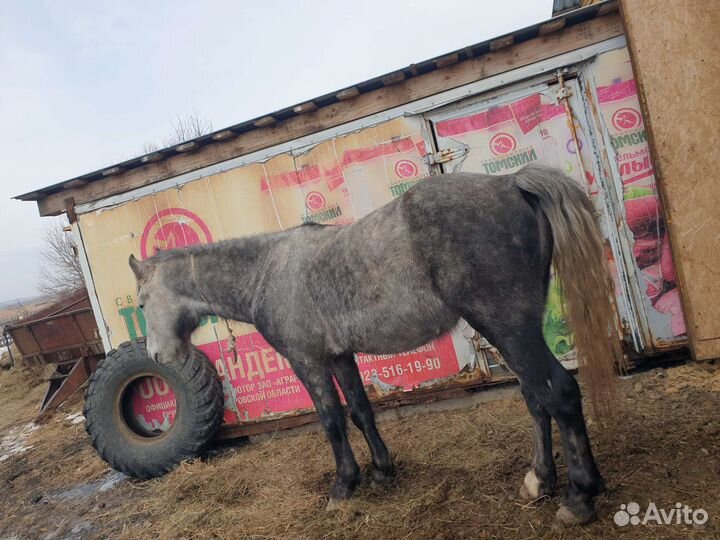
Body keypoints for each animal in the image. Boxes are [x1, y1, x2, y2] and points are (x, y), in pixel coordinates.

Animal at [129, 163, 621, 526]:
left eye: (141, 302)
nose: (158, 356)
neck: (269, 271)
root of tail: (510, 182)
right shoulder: (340, 356)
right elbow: (361, 411)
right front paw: (383, 473)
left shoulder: (308, 361)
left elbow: (331, 421)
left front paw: (343, 487)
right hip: (515, 330)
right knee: (535, 397)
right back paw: (538, 481)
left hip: (508, 326)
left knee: (558, 392)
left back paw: (579, 498)